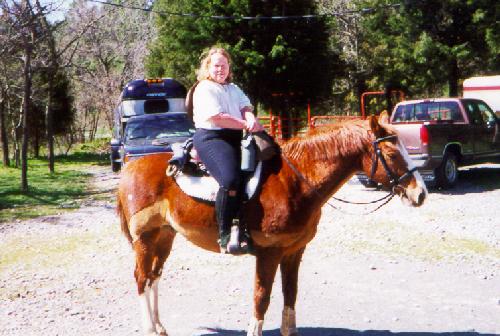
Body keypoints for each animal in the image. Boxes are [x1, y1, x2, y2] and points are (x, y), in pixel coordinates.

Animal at [116, 114, 426, 334]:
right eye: (391, 154)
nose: (420, 193)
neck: (296, 182)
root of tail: (130, 167)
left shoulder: (294, 252)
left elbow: (290, 296)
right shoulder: (268, 253)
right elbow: (261, 299)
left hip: (164, 236)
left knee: (154, 277)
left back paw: (160, 327)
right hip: (145, 239)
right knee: (141, 278)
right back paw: (150, 328)